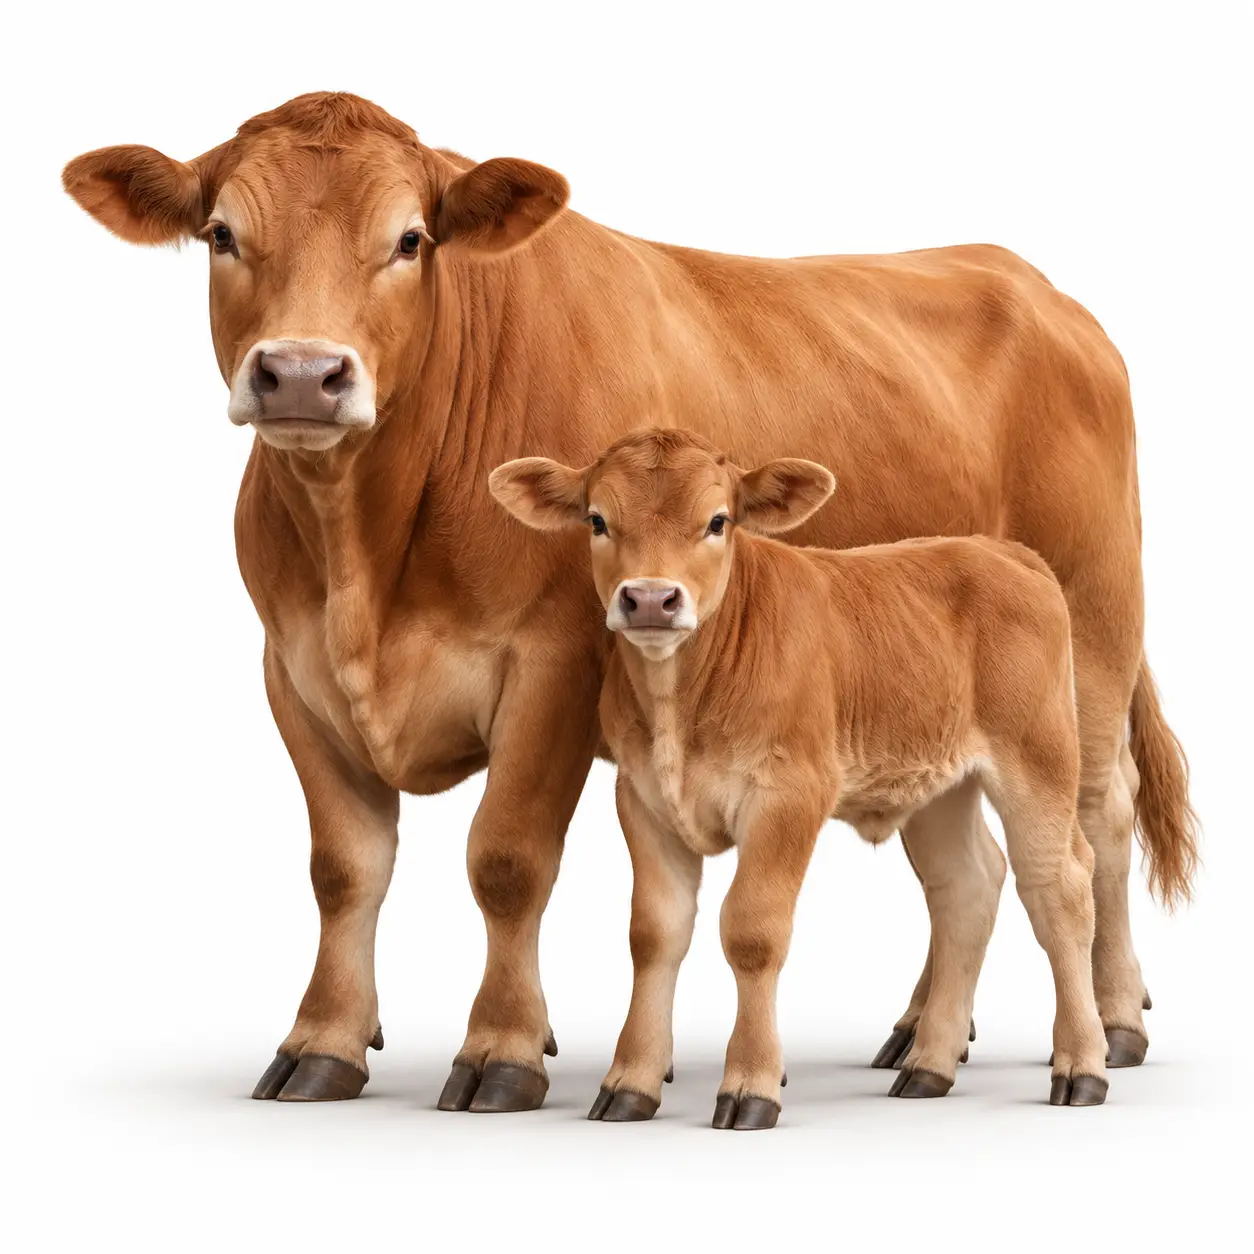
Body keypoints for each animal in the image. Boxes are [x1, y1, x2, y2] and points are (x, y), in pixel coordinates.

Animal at [490, 427, 1109, 1127]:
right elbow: (653, 935)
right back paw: (929, 1066)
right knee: (968, 885)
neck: (682, 703)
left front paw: (751, 1084)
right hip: (939, 783)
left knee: (1059, 888)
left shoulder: (789, 795)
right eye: (597, 519)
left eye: (718, 521)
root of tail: (998, 549)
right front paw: (631, 1081)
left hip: (1038, 757)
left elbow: (752, 931)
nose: (649, 597)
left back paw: (1082, 1067)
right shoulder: (643, 799)